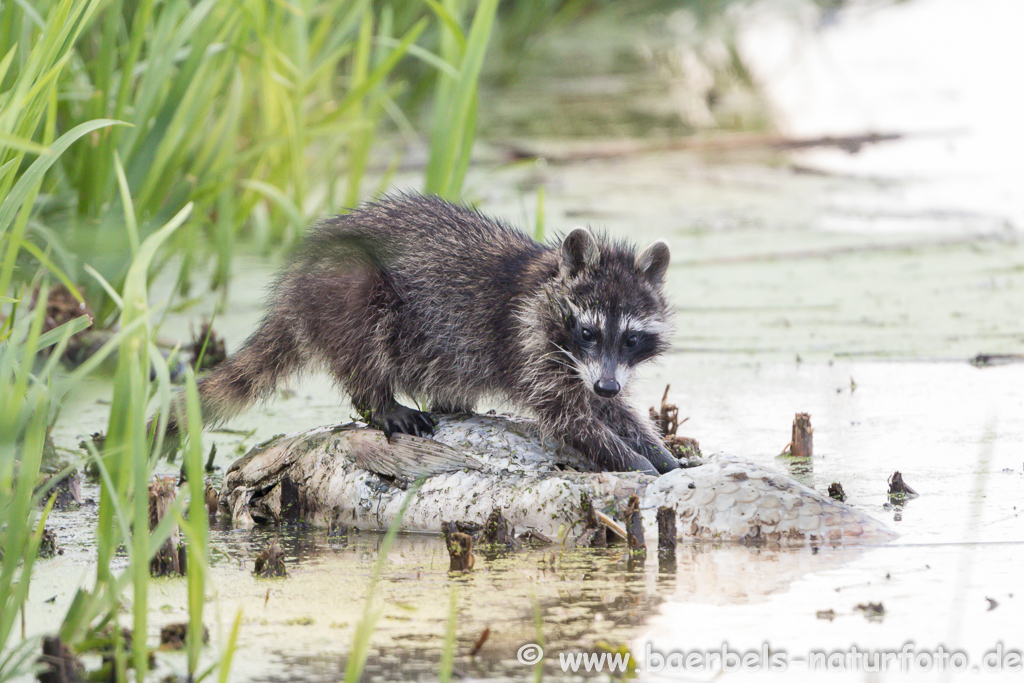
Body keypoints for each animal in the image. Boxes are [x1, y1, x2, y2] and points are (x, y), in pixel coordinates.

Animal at [161, 193, 679, 475]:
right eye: (588, 331)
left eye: (631, 338)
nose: (607, 384)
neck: (545, 278)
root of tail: (291, 288)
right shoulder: (530, 343)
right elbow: (569, 417)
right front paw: (637, 463)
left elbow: (611, 410)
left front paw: (660, 451)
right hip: (345, 290)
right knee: (362, 340)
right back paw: (380, 401)